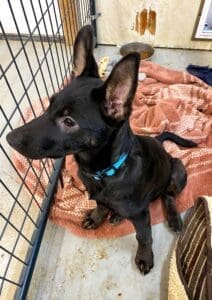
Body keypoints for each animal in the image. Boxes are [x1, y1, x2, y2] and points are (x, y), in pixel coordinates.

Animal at [6, 25, 196, 274]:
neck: (104, 171)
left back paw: (172, 217)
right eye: (49, 104)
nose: (9, 139)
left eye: (69, 121)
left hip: (177, 171)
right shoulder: (95, 192)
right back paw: (115, 215)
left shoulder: (141, 215)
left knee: (168, 195)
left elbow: (144, 237)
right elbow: (99, 204)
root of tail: (159, 141)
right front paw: (98, 217)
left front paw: (145, 257)